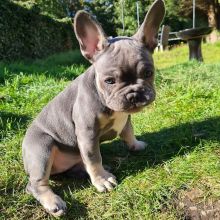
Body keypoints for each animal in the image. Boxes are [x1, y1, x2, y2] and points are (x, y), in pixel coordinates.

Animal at [22, 0, 165, 217]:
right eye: (110, 81)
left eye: (148, 73)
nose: (133, 94)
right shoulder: (87, 133)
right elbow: (93, 157)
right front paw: (101, 180)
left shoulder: (126, 119)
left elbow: (128, 132)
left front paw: (135, 144)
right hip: (41, 148)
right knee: (36, 184)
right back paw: (54, 201)